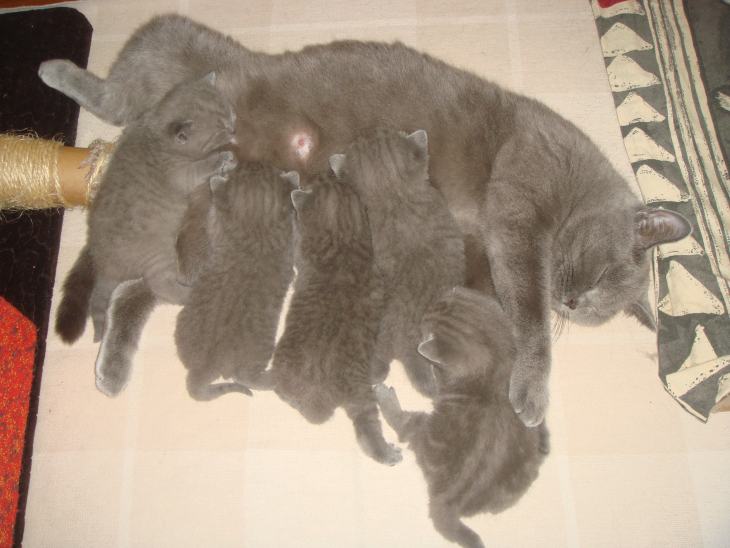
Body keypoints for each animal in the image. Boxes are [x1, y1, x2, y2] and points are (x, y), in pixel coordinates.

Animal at [56, 71, 237, 347]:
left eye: (229, 112)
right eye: (220, 130)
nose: (234, 127)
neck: (159, 137)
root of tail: (105, 265)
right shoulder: (181, 173)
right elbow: (202, 167)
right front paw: (223, 157)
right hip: (156, 252)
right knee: (161, 285)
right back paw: (190, 292)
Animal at [376, 286, 549, 548]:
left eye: (426, 322)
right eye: (436, 304)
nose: (425, 312)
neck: (497, 362)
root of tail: (448, 499)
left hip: (427, 430)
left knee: (406, 424)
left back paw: (384, 395)